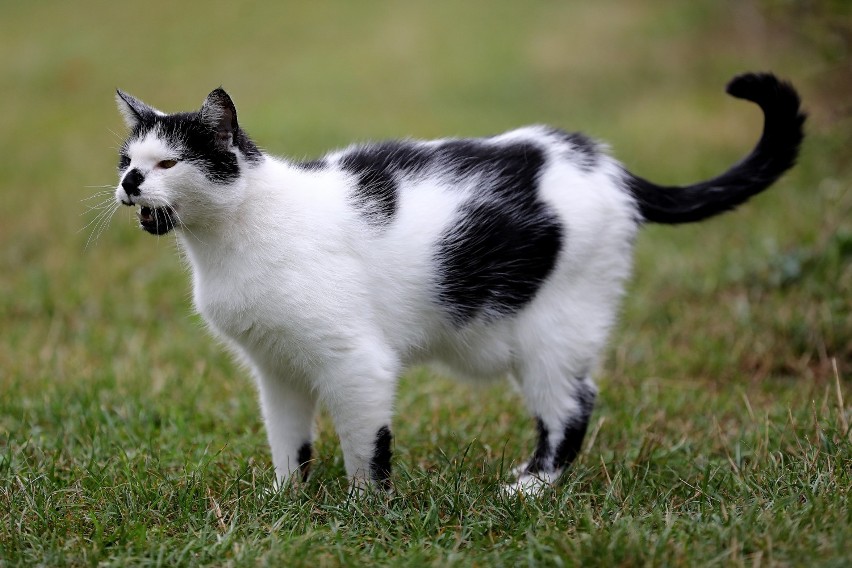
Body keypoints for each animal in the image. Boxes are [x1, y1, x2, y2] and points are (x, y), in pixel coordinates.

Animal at [113, 73, 804, 494]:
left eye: (169, 162)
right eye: (126, 160)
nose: (130, 184)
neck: (232, 239)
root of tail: (605, 165)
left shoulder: (356, 361)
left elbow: (367, 446)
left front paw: (363, 512)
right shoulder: (276, 369)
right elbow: (290, 442)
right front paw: (287, 501)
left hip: (555, 331)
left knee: (572, 406)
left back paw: (531, 487)